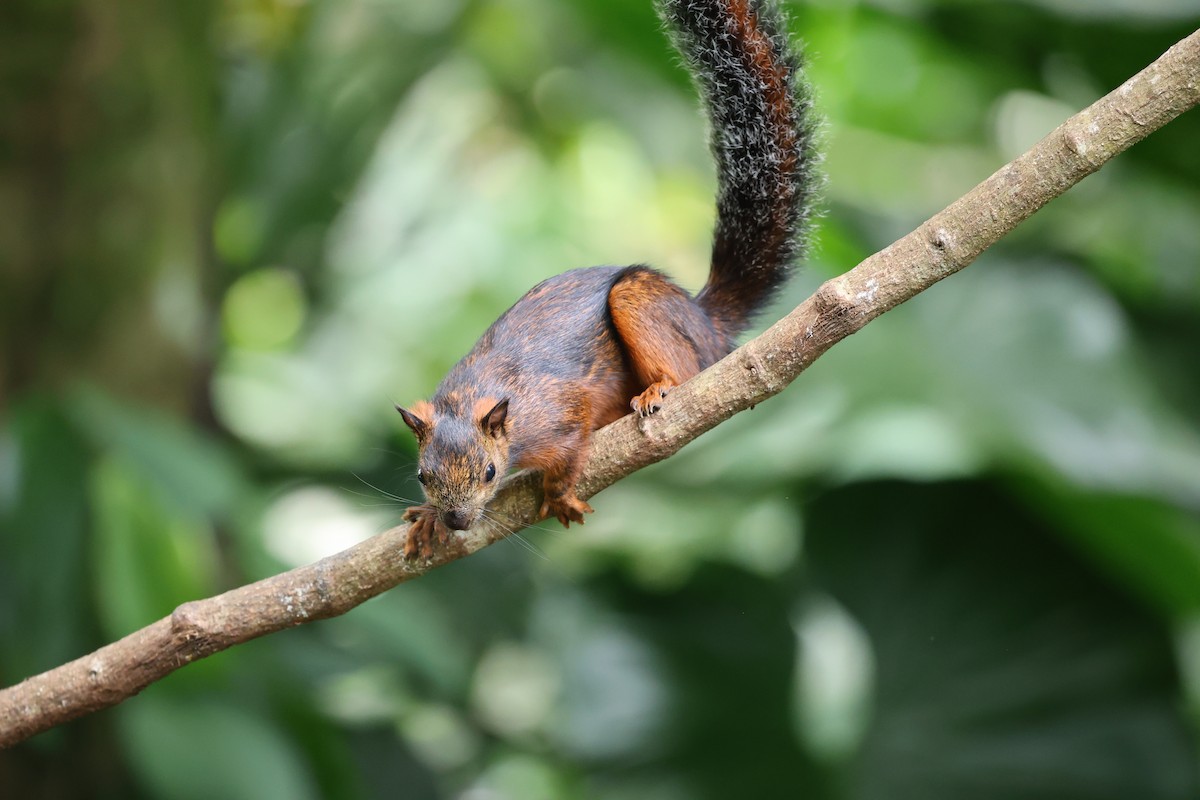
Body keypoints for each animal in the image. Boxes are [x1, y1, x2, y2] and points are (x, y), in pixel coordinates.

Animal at [396, 0, 818, 559]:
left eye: (488, 472)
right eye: (422, 476)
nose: (458, 521)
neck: (472, 395)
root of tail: (705, 320)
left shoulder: (559, 414)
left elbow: (567, 456)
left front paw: (559, 495)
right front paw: (426, 519)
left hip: (641, 302)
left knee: (685, 369)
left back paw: (659, 389)